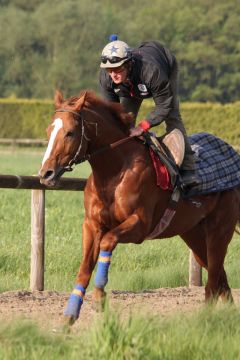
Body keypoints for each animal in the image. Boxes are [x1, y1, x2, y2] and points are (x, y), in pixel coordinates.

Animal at [38, 89, 239, 324]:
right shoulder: (91, 225)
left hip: (220, 229)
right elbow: (85, 268)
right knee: (220, 277)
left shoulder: (140, 225)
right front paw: (69, 315)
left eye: (70, 133)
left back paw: (205, 319)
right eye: (48, 130)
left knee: (214, 279)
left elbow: (108, 241)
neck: (114, 173)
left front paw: (99, 297)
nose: (46, 174)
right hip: (193, 233)